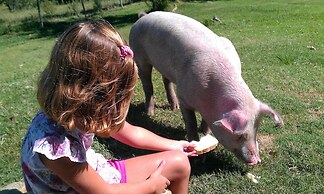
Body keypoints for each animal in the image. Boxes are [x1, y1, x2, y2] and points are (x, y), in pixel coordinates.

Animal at [129, 11, 284, 165]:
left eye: (256, 129)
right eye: (240, 135)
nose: (256, 160)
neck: (212, 99)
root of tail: (143, 17)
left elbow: (206, 123)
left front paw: (205, 132)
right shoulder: (184, 96)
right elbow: (190, 122)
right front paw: (196, 147)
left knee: (166, 80)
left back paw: (174, 108)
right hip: (139, 56)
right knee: (148, 85)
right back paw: (150, 113)